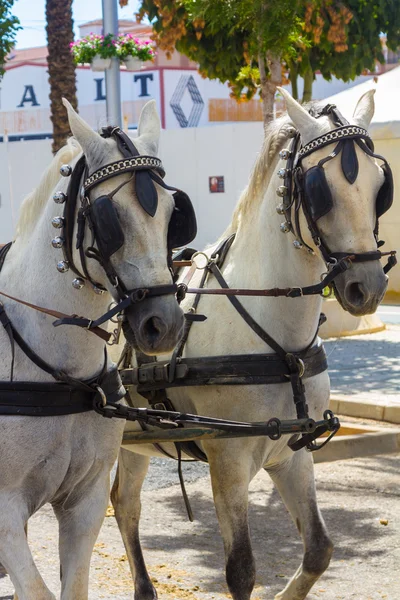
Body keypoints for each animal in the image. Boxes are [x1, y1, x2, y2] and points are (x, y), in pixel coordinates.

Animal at [0, 101, 186, 596]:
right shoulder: (2, 510)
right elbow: (38, 590)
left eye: (172, 214)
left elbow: (73, 586)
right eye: (108, 218)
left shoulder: (85, 501)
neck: (59, 373)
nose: (163, 324)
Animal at [111, 89, 390, 600]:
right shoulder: (229, 459)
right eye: (319, 188)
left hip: (132, 437)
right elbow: (240, 570)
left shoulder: (292, 455)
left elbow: (319, 549)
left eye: (381, 183)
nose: (368, 286)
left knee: (124, 503)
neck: (279, 343)